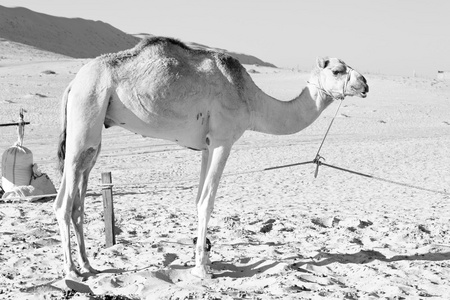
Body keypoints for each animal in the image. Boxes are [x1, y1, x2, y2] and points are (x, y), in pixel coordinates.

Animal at [54, 36, 368, 280]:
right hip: (85, 116)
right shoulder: (222, 141)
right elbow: (207, 203)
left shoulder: (205, 147)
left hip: (94, 137)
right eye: (338, 71)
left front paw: (204, 258)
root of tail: (72, 84)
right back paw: (70, 271)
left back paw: (88, 266)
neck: (250, 100)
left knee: (78, 201)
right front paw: (201, 270)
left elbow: (197, 201)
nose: (364, 84)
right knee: (63, 202)